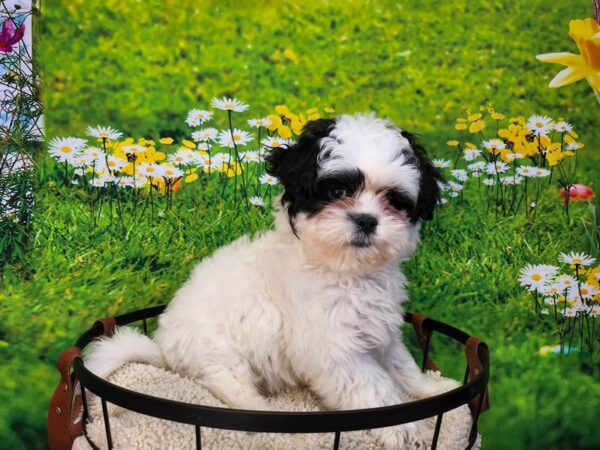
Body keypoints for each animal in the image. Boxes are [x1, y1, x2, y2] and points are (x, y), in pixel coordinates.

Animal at [85, 114, 454, 448]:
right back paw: (265, 416)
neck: (344, 271)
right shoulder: (331, 348)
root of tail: (163, 349)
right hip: (218, 353)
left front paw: (432, 389)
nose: (366, 219)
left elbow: (401, 365)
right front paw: (400, 428)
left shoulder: (380, 331)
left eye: (394, 200)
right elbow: (372, 387)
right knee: (229, 386)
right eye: (337, 190)